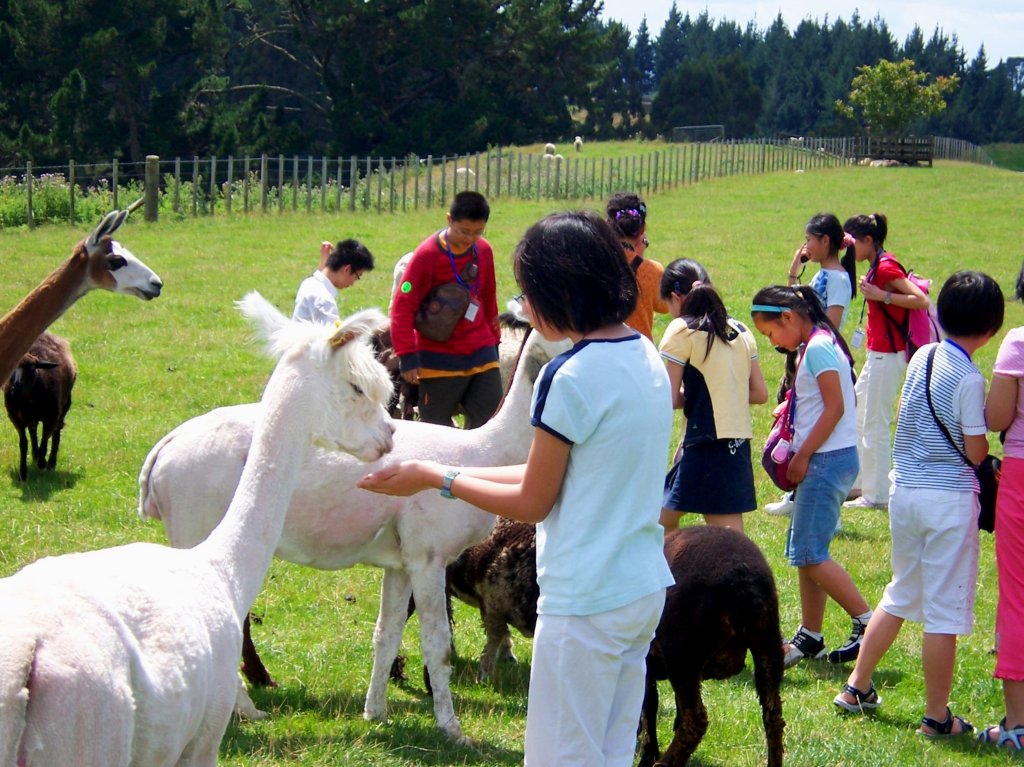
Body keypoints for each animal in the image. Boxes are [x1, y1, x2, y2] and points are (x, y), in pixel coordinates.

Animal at [3, 329, 76, 479]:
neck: (28, 399)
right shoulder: (15, 418)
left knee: (56, 433)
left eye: (31, 369)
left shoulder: (51, 417)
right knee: (33, 430)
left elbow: (45, 439)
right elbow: (23, 443)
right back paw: (35, 454)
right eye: (11, 368)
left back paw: (50, 463)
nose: (14, 389)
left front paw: (43, 463)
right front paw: (23, 473)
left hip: (64, 405)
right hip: (31, 417)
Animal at [138, 325, 569, 737]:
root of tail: (165, 449)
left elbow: (386, 634)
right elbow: (437, 645)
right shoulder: (428, 556)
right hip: (197, 528)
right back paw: (245, 707)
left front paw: (375, 712)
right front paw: (451, 729)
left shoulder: (401, 562)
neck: (483, 454)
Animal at [638, 528, 782, 765]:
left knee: (695, 721)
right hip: (768, 643)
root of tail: (743, 578)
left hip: (682, 653)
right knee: (773, 718)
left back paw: (664, 762)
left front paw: (648, 755)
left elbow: (648, 707)